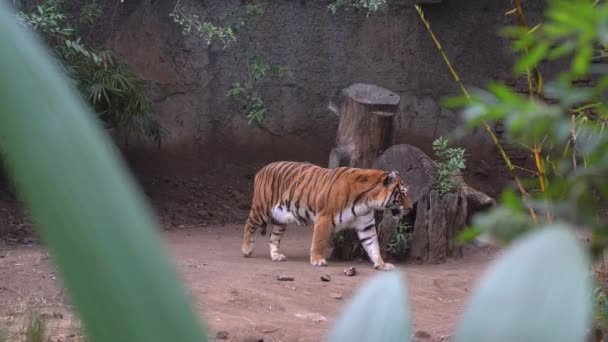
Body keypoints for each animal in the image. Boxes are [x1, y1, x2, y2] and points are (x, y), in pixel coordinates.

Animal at [239, 162, 414, 272]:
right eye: (403, 194)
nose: (411, 208)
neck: (368, 201)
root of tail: (262, 170)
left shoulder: (366, 225)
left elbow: (373, 245)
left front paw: (381, 264)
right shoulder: (324, 218)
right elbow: (319, 241)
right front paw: (317, 260)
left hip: (280, 218)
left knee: (273, 237)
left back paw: (276, 256)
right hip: (261, 208)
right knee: (248, 224)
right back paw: (247, 249)